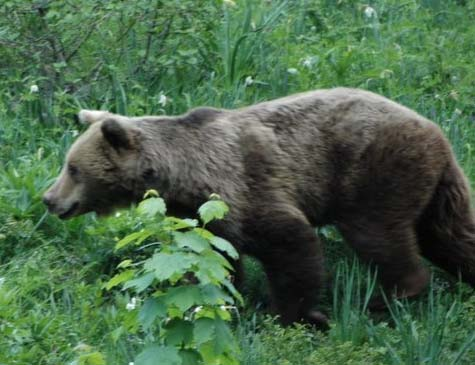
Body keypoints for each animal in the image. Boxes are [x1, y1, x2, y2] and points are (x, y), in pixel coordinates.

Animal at [43, 87, 475, 328]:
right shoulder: (198, 215)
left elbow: (290, 242)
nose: (49, 199)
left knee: (377, 235)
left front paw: (296, 315)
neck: (181, 177)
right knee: (452, 235)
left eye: (73, 168)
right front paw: (211, 303)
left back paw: (387, 300)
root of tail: (436, 130)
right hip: (435, 187)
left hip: (375, 171)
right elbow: (209, 260)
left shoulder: (240, 188)